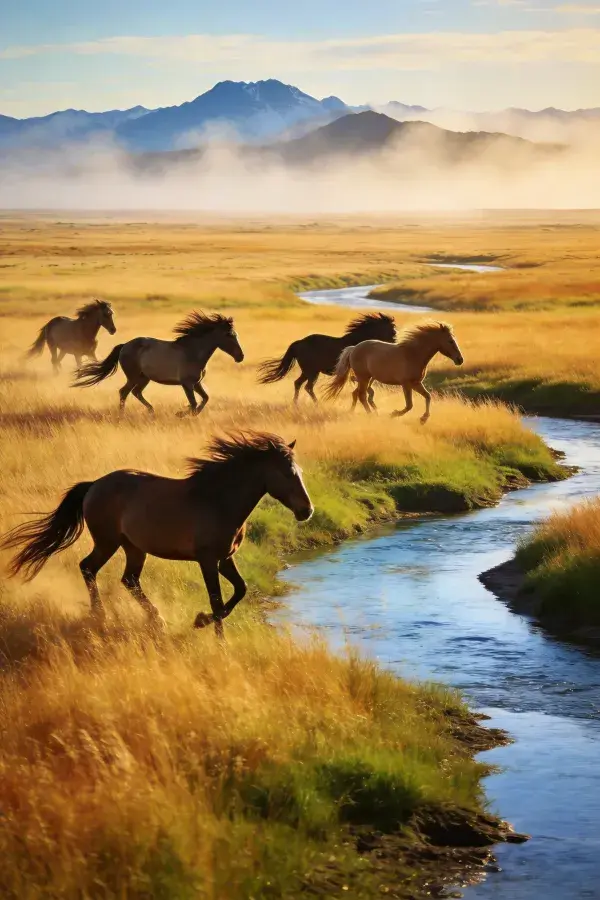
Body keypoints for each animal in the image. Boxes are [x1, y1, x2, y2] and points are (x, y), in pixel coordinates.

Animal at [1, 432, 313, 638]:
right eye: (287, 473)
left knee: (128, 579)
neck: (218, 500)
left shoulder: (225, 558)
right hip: (107, 542)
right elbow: (216, 598)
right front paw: (213, 632)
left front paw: (202, 622)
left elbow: (240, 590)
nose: (306, 511)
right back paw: (100, 615)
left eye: (299, 471)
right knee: (89, 568)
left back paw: (155, 619)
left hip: (133, 548)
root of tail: (94, 485)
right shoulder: (207, 560)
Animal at [73, 312, 244, 416]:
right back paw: (123, 415)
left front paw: (185, 413)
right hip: (134, 377)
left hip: (144, 378)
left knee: (136, 392)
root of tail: (125, 345)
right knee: (124, 392)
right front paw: (180, 414)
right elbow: (194, 403)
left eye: (235, 334)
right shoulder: (187, 384)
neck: (192, 352)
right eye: (229, 335)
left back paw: (151, 410)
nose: (240, 356)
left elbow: (205, 399)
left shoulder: (196, 383)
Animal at [257, 312, 397, 405]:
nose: (394, 344)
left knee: (298, 383)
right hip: (312, 372)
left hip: (308, 371)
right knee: (308, 387)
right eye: (392, 331)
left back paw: (296, 404)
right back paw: (317, 404)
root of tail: (298, 343)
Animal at [323, 321, 463, 424]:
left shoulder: (416, 383)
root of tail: (353, 348)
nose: (460, 360)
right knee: (361, 395)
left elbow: (428, 396)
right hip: (363, 378)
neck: (413, 354)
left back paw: (358, 412)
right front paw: (394, 414)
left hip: (366, 379)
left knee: (357, 394)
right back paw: (372, 415)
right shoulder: (406, 384)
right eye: (450, 341)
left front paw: (423, 419)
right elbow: (409, 405)